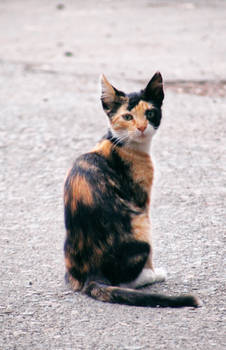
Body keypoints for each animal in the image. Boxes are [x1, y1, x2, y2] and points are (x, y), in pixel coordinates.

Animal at [63, 72, 200, 308]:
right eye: (127, 117)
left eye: (150, 113)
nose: (142, 127)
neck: (121, 143)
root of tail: (93, 273)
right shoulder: (142, 200)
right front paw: (153, 272)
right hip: (140, 224)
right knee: (125, 280)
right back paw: (151, 276)